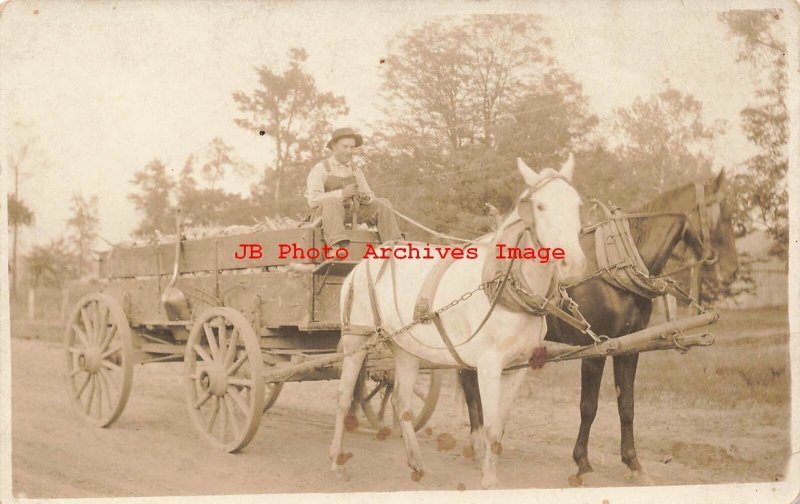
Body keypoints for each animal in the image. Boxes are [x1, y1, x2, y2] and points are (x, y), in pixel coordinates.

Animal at [328, 157, 584, 488]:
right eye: (540, 206)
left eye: (577, 204)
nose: (574, 263)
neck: (503, 286)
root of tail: (363, 264)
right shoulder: (488, 364)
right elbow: (489, 424)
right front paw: (489, 481)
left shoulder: (518, 367)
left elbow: (500, 425)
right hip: (356, 339)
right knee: (344, 396)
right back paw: (336, 461)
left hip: (405, 347)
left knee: (401, 402)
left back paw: (416, 463)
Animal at [460, 172, 740, 484]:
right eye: (726, 215)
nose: (732, 271)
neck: (615, 267)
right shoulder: (596, 348)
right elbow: (588, 407)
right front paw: (582, 461)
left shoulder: (628, 346)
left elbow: (626, 405)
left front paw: (633, 463)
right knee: (470, 384)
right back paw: (478, 445)